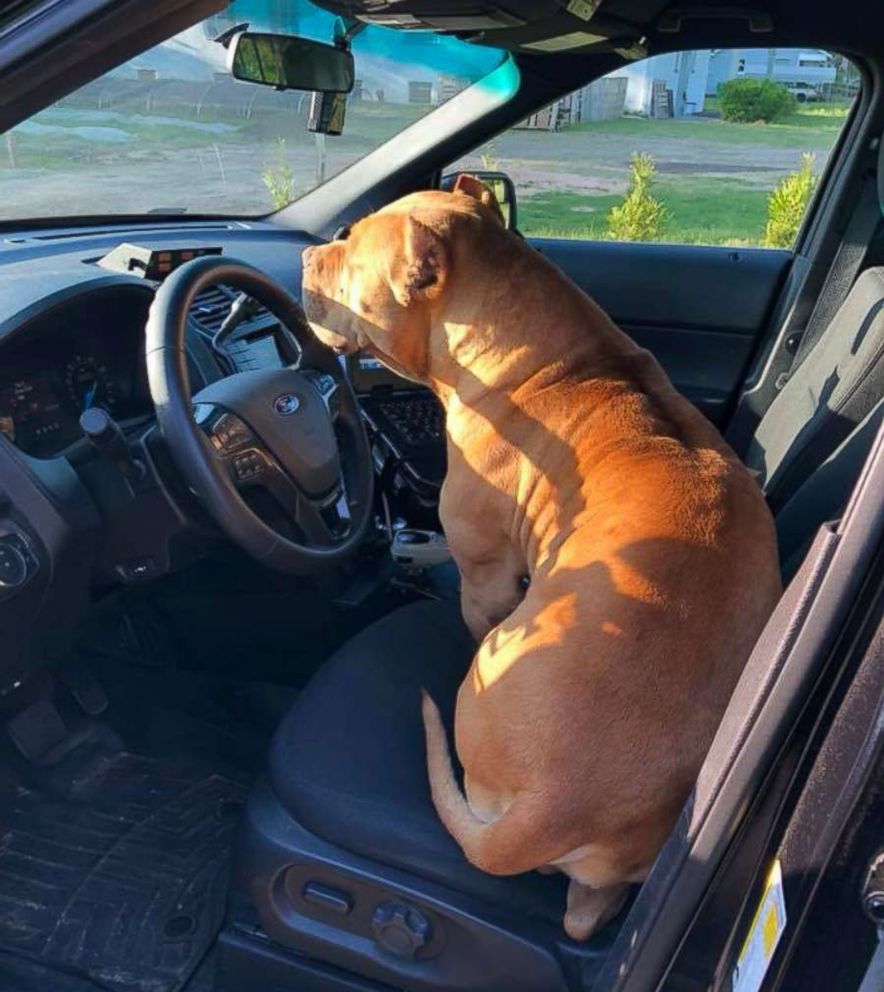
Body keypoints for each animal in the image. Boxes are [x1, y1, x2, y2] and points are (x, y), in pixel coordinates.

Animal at [302, 176, 780, 936]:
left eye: (349, 246)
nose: (306, 257)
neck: (552, 362)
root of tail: (550, 809)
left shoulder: (487, 576)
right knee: (586, 913)